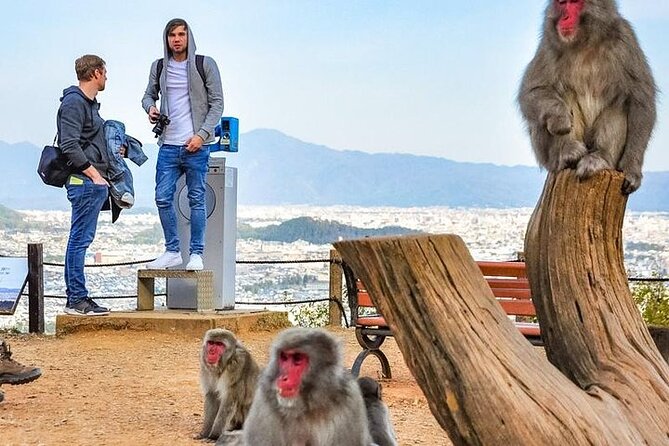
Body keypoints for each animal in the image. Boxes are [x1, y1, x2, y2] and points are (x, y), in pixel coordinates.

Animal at [243, 327, 374, 446]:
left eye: (297, 359)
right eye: (284, 357)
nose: (283, 378)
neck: (309, 406)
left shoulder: (350, 400)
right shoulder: (264, 400)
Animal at [518, 0, 656, 194]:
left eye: (575, 3)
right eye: (562, 3)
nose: (565, 17)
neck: (585, 44)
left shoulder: (626, 39)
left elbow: (641, 100)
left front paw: (631, 170)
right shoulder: (548, 44)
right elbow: (532, 90)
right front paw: (560, 118)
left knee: (619, 104)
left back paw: (600, 157)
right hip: (547, 157)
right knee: (561, 96)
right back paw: (567, 151)